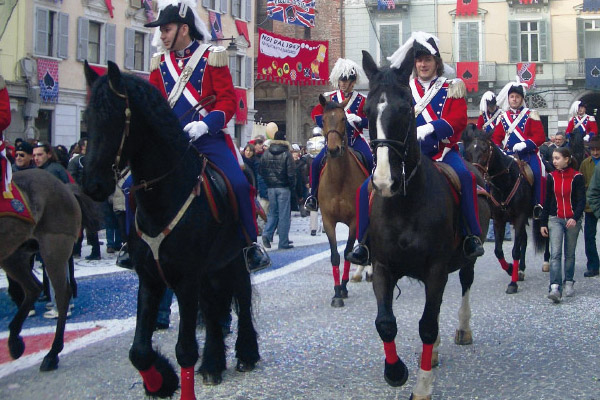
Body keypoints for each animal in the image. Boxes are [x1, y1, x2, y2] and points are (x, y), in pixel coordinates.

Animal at [0, 167, 98, 370]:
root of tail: (65, 187)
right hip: (13, 254)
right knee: (33, 287)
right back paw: (15, 342)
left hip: (53, 247)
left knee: (62, 294)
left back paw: (52, 354)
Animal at [81, 61, 258, 398]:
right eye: (86, 121)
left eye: (113, 119)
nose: (93, 186)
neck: (164, 195)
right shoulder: (150, 278)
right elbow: (138, 351)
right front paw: (161, 381)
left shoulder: (186, 278)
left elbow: (185, 350)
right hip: (209, 270)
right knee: (213, 307)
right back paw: (213, 363)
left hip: (234, 258)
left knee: (241, 297)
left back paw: (246, 353)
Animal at [358, 50, 490, 396]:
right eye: (366, 110)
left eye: (405, 109)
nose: (383, 181)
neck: (405, 202)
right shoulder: (382, 266)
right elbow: (385, 323)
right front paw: (395, 371)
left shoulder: (436, 268)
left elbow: (428, 326)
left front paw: (422, 386)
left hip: (467, 258)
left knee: (465, 285)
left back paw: (462, 330)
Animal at [462, 126, 548, 294]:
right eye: (468, 151)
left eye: (485, 150)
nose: (474, 173)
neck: (505, 182)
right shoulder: (499, 220)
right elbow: (498, 251)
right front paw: (510, 269)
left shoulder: (519, 217)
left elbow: (515, 250)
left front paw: (512, 283)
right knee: (524, 240)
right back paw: (520, 269)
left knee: (547, 236)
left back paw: (547, 263)